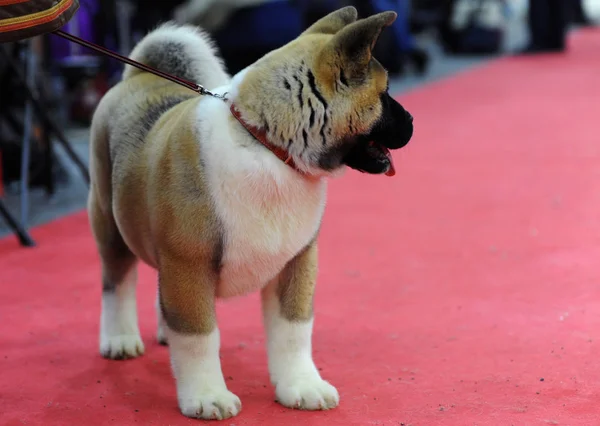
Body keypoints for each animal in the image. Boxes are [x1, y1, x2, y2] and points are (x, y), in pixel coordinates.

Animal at [88, 5, 412, 422]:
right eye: (384, 94)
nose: (412, 122)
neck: (268, 145)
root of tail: (138, 76)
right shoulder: (189, 267)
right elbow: (198, 337)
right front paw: (207, 396)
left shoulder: (297, 263)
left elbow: (293, 332)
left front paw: (301, 386)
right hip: (110, 224)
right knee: (118, 282)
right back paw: (120, 338)